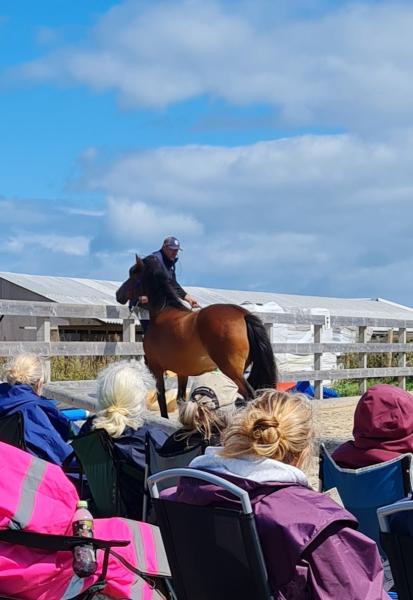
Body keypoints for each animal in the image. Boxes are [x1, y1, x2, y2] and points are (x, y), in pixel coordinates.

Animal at [116, 254, 276, 418]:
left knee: (250, 396)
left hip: (232, 371)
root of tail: (243, 314)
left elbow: (161, 399)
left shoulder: (157, 369)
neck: (162, 312)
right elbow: (180, 399)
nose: (118, 294)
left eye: (132, 273)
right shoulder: (181, 372)